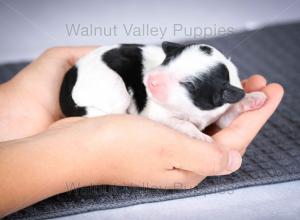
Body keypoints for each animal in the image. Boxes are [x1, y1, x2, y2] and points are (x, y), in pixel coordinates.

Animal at [59, 41, 266, 142]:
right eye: (167, 61)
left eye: (190, 85)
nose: (149, 79)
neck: (192, 110)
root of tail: (72, 72)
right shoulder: (157, 114)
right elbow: (182, 123)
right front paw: (198, 135)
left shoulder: (217, 110)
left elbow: (226, 117)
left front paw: (251, 99)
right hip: (114, 90)